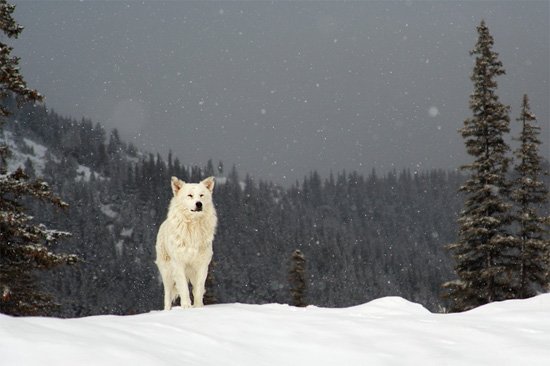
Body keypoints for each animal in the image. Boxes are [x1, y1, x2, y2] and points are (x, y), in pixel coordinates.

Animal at [155, 177, 218, 308]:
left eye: (201, 195)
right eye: (190, 195)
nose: (199, 204)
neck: (193, 227)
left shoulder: (202, 265)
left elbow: (199, 289)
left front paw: (198, 307)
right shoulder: (178, 264)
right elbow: (183, 288)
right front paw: (186, 307)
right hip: (167, 274)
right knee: (167, 296)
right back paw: (167, 310)